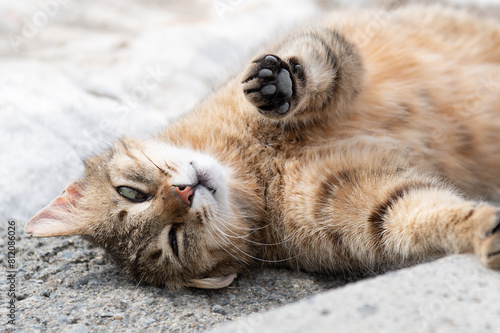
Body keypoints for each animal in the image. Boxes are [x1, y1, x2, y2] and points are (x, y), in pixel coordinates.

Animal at [25, 3, 500, 288]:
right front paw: (480, 231)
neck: (256, 166)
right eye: (172, 241)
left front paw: (279, 83)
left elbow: (319, 63)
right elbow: (421, 216)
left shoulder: (332, 48)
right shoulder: (369, 211)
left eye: (130, 192)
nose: (184, 192)